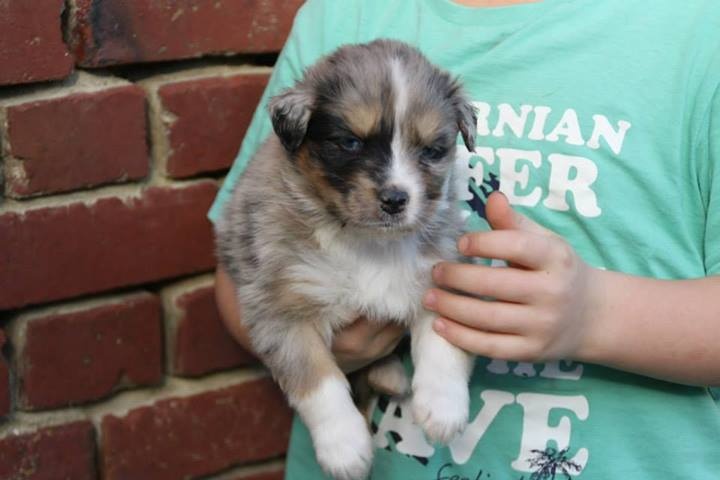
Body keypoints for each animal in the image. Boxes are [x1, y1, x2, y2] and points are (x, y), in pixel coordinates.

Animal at [215, 39, 477, 480]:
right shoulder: (280, 307)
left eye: (432, 150)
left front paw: (443, 409)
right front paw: (344, 447)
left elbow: (443, 342)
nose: (395, 199)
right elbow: (316, 378)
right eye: (350, 142)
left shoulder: (438, 273)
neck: (367, 243)